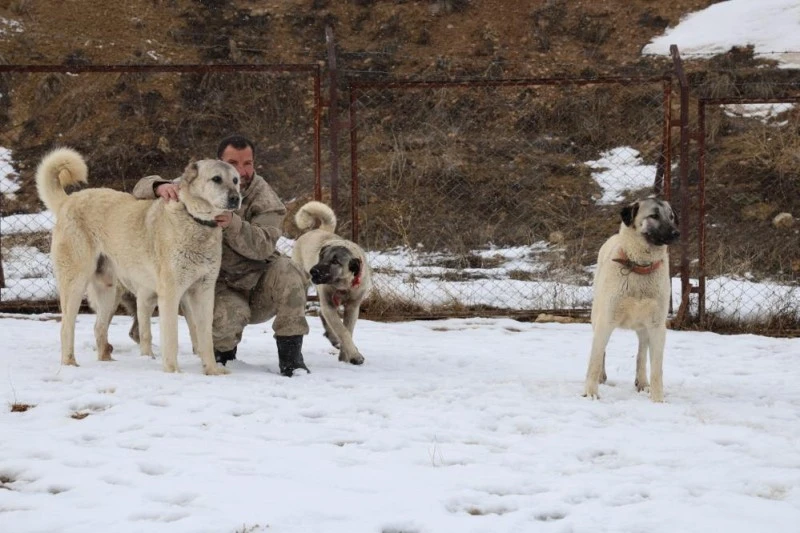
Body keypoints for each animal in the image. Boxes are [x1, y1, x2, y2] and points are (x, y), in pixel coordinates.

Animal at [35, 145, 241, 374]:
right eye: (216, 179)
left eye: (235, 180)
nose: (236, 198)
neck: (195, 221)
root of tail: (68, 200)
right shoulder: (170, 294)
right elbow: (171, 338)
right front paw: (173, 371)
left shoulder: (204, 292)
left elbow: (205, 338)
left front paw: (212, 371)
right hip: (76, 284)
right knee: (66, 327)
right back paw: (70, 363)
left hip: (108, 292)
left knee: (99, 327)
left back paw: (106, 360)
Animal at [290, 201, 372, 366]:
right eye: (321, 257)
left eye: (335, 261)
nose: (313, 271)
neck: (344, 286)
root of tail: (319, 230)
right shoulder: (329, 304)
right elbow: (343, 331)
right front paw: (354, 355)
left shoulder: (353, 307)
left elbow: (347, 330)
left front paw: (346, 355)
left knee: (323, 314)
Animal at [584, 197, 680, 402]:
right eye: (654, 216)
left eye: (671, 217)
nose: (677, 233)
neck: (639, 268)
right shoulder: (606, 320)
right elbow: (595, 360)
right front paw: (590, 393)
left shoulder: (657, 327)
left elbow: (657, 369)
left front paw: (658, 400)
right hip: (597, 318)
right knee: (601, 351)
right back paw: (602, 377)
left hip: (644, 328)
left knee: (641, 354)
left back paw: (642, 382)